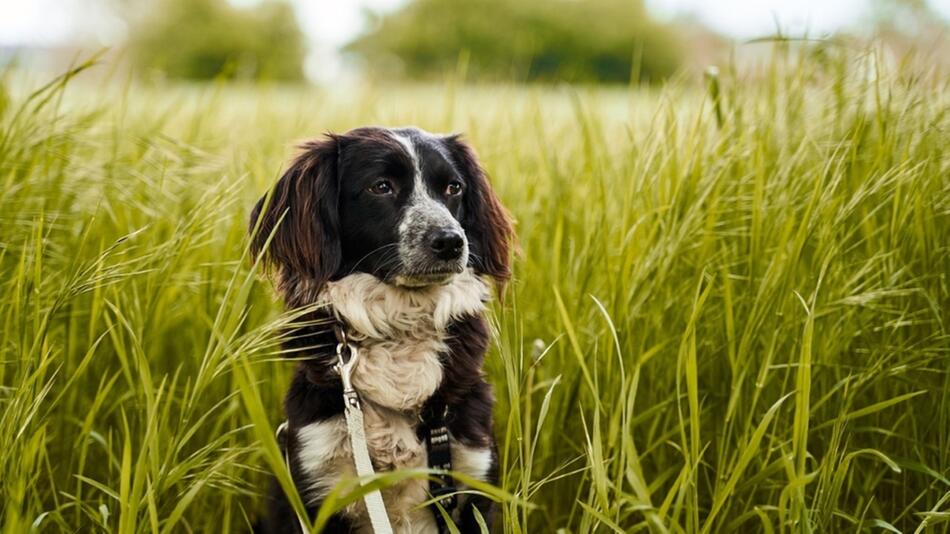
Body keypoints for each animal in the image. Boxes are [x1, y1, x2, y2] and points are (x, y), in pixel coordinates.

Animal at [247, 127, 512, 532]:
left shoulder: (472, 480)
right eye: (381, 186)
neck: (400, 330)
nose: (451, 241)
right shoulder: (317, 482)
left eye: (453, 188)